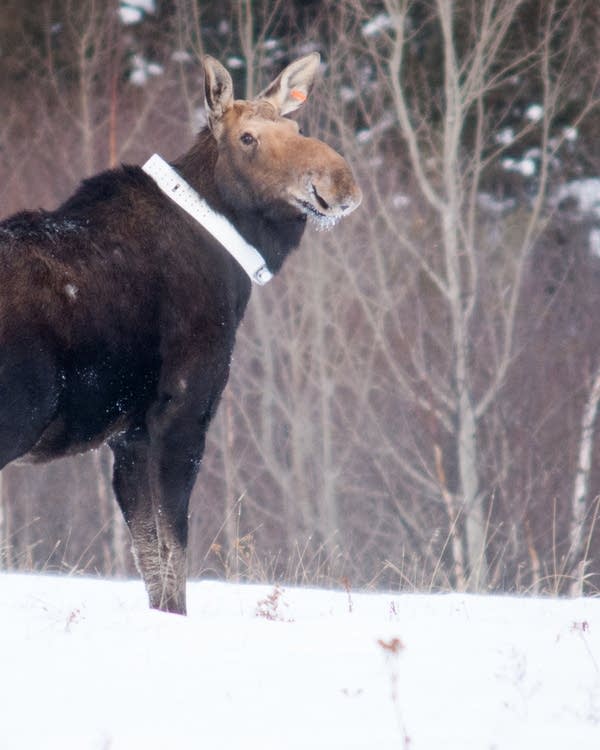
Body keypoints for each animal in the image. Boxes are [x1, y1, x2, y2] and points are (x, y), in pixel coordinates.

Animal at [0, 53, 361, 614]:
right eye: (247, 138)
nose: (339, 183)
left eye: (298, 128)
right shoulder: (183, 411)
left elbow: (152, 562)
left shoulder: (129, 436)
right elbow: (175, 554)